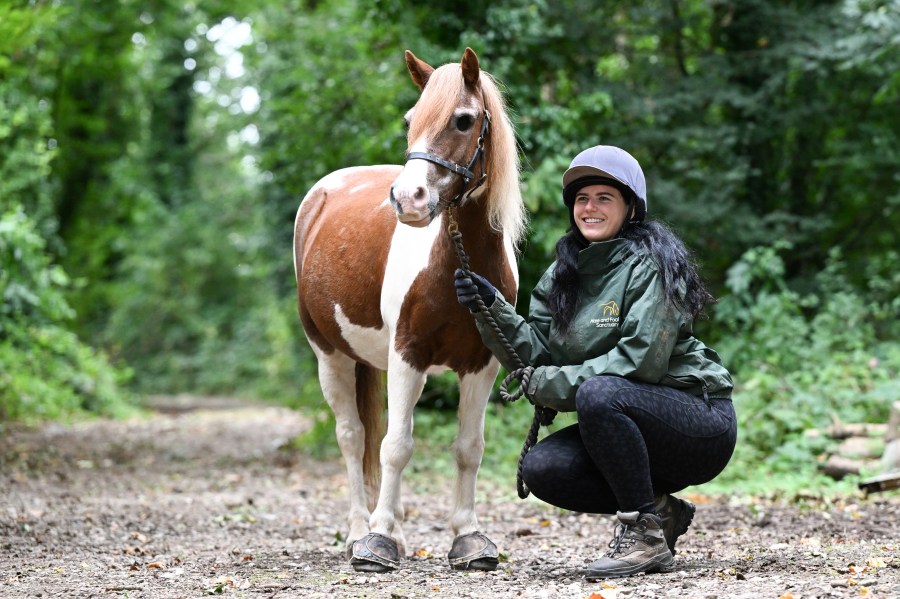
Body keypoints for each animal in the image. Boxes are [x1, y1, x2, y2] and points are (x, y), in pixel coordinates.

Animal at [293, 47, 525, 573]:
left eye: (463, 120)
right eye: (409, 120)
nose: (408, 199)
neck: (457, 262)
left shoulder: (481, 364)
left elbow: (468, 449)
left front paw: (468, 538)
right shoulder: (408, 354)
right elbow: (395, 448)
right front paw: (376, 542)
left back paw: (395, 528)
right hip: (332, 356)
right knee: (354, 437)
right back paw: (360, 531)